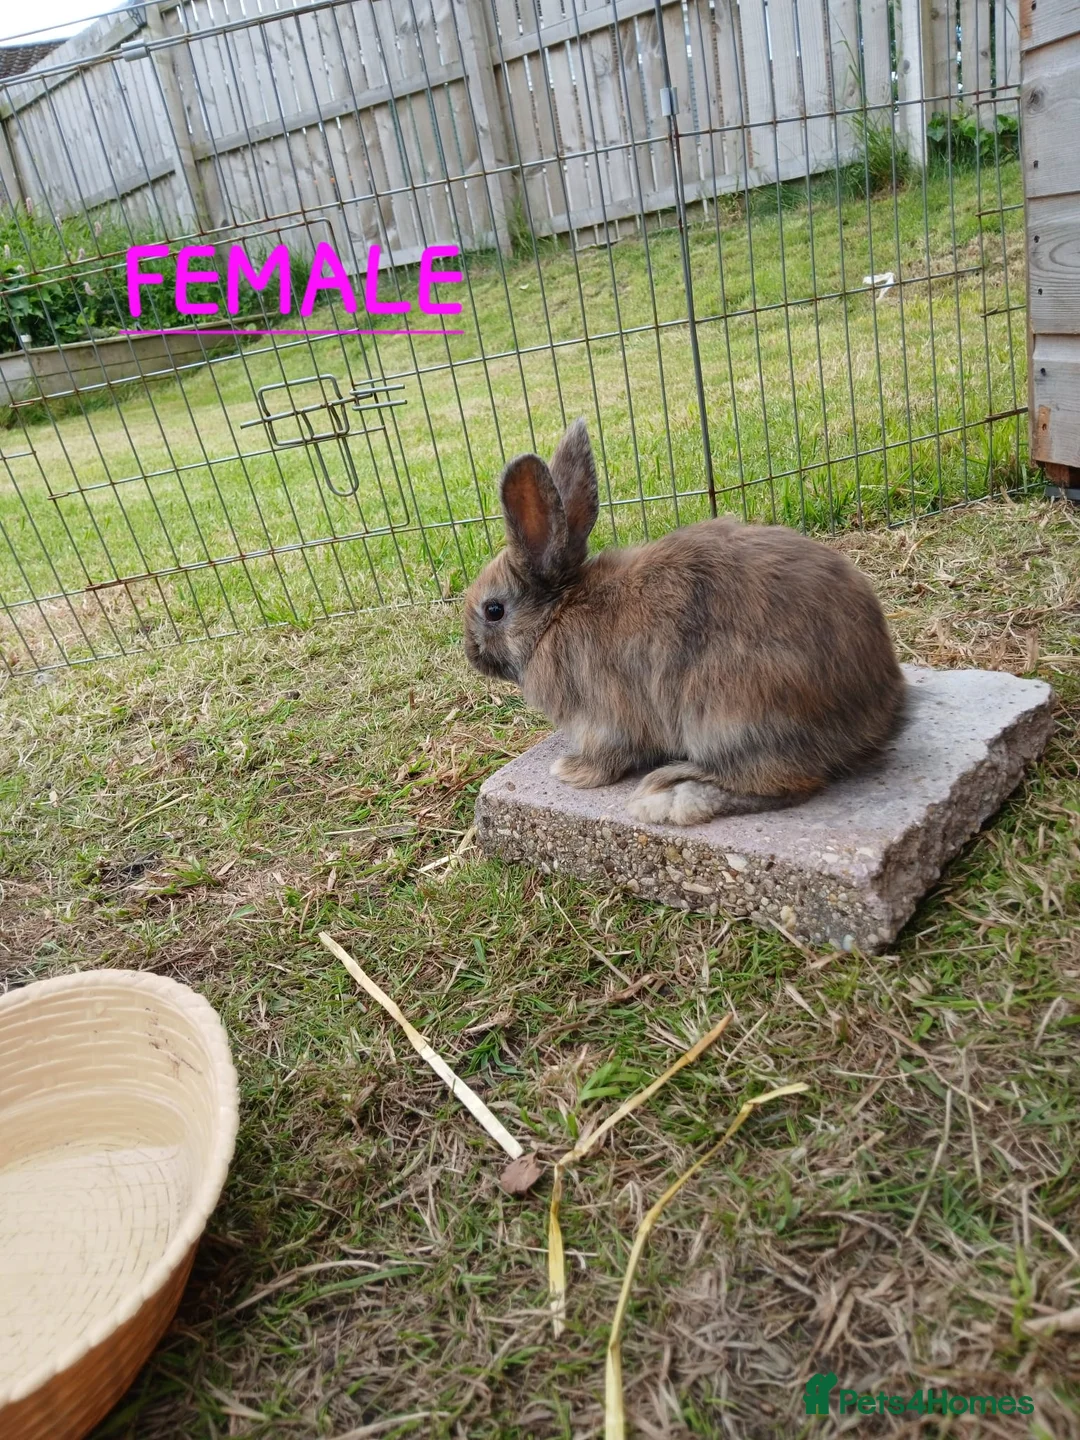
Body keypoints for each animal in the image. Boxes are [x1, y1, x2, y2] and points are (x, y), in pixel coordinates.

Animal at [463, 419, 905, 825]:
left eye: (493, 610)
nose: (471, 654)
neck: (554, 617)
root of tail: (875, 712)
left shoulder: (602, 719)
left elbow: (608, 757)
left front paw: (571, 772)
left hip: (730, 715)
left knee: (784, 782)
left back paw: (670, 796)